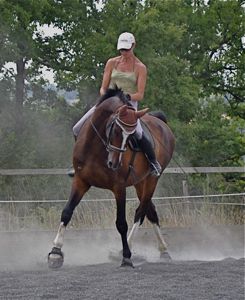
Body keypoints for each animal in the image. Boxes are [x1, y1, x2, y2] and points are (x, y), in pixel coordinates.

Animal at [47, 88, 174, 268]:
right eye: (115, 130)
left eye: (131, 136)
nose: (114, 163)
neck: (95, 148)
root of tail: (160, 121)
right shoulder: (80, 181)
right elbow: (66, 212)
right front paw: (55, 253)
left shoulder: (119, 187)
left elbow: (121, 223)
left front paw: (127, 257)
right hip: (140, 182)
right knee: (151, 211)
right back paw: (163, 251)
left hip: (152, 180)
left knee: (140, 212)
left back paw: (127, 250)